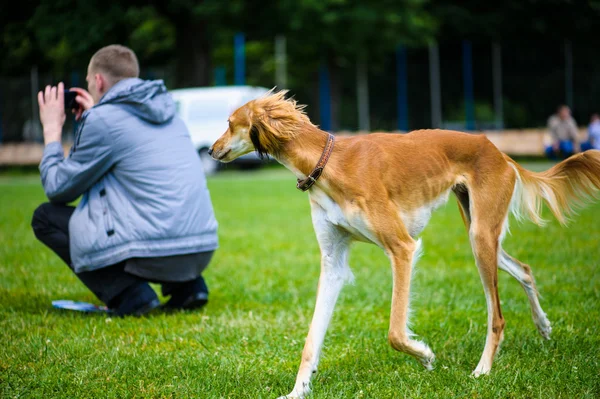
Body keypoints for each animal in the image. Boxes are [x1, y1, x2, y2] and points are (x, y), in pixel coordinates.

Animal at [210, 90, 600, 399]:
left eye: (229, 123)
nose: (211, 151)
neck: (327, 162)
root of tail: (497, 150)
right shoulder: (333, 264)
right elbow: (311, 340)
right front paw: (298, 391)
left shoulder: (402, 247)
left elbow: (396, 332)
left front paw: (425, 356)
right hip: (480, 232)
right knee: (525, 269)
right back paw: (543, 326)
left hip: (481, 236)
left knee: (497, 316)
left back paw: (484, 369)